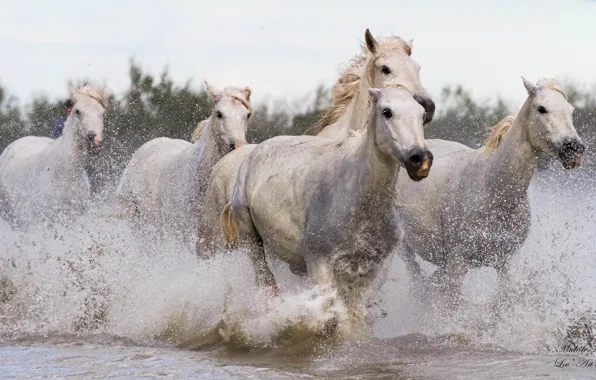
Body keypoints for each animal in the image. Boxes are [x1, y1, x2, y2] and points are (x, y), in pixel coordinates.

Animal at [219, 85, 434, 336]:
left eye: (421, 114)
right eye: (387, 112)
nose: (420, 159)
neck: (358, 199)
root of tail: (252, 155)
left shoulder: (372, 269)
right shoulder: (319, 263)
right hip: (251, 240)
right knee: (267, 283)